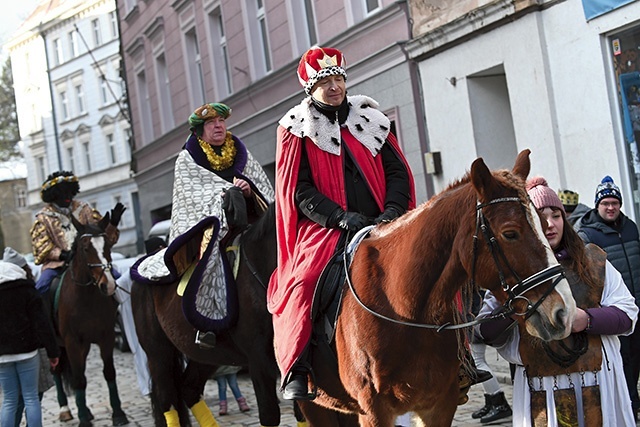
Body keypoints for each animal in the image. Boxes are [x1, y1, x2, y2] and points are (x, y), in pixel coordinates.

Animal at [54, 212, 128, 426]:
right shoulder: (71, 341)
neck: (85, 298)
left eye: (108, 246)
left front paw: (118, 413)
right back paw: (65, 410)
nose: (108, 285)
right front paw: (82, 420)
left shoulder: (106, 336)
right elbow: (78, 379)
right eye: (86, 248)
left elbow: (108, 372)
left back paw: (85, 411)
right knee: (58, 372)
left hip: (84, 346)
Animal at [298, 149, 576, 426]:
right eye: (509, 233)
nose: (565, 313)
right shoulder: (374, 411)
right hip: (317, 406)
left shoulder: (440, 404)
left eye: (546, 225)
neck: (404, 311)